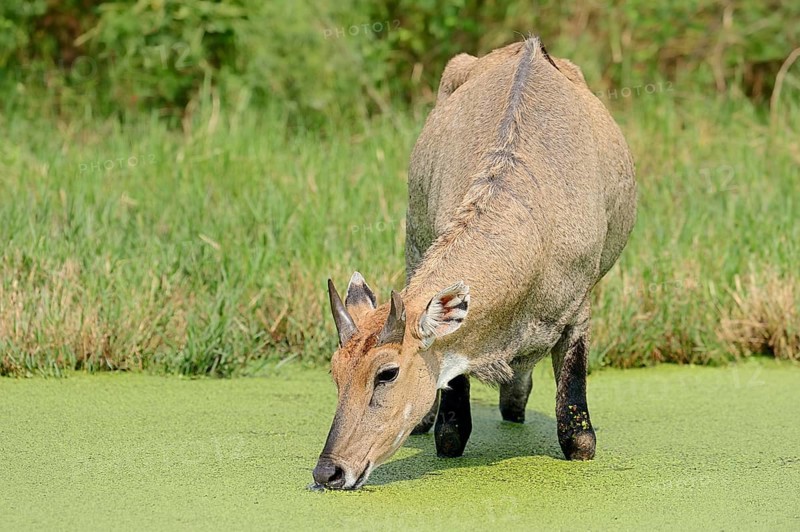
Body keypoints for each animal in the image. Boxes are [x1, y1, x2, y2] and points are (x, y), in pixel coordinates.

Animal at [312, 36, 637, 490]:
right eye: (336, 372)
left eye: (387, 373)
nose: (329, 471)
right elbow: (450, 433)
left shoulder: (578, 313)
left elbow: (580, 440)